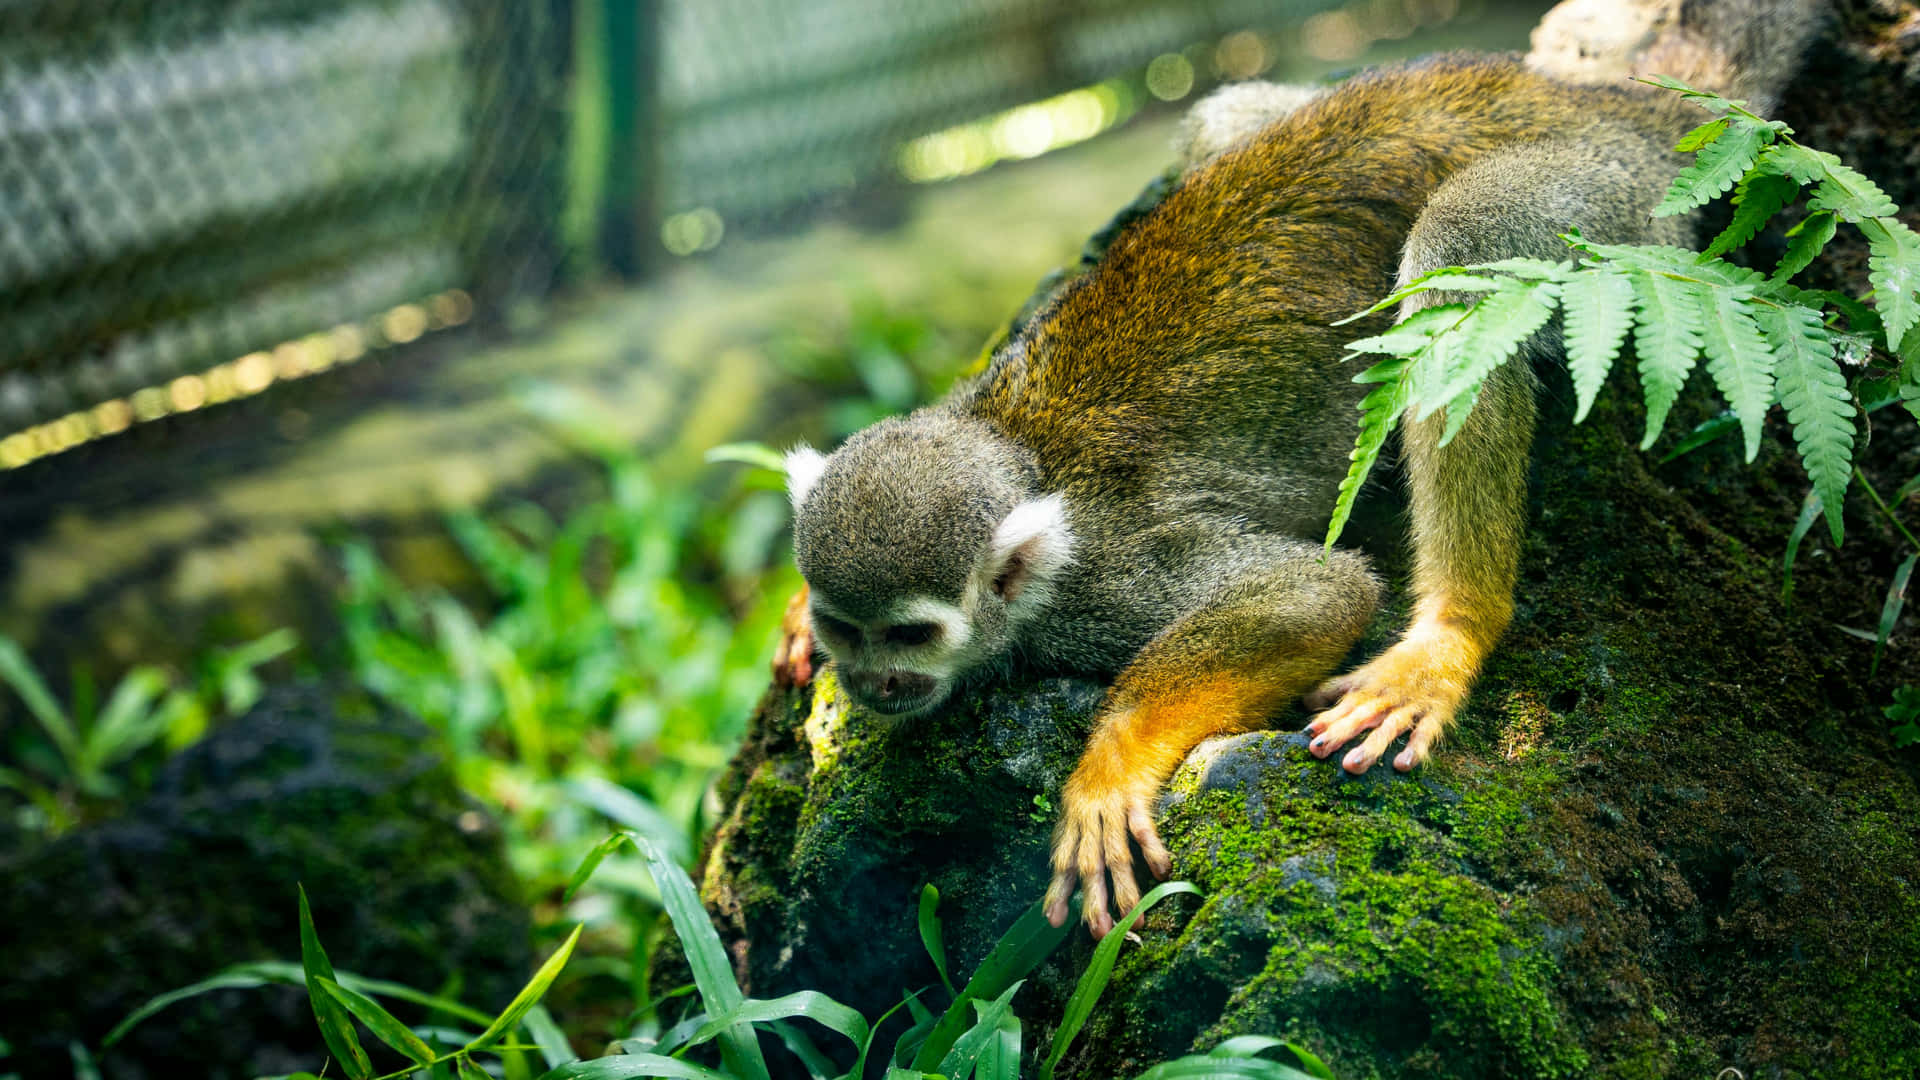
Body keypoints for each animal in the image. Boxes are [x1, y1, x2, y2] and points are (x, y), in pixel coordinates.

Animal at [775, 4, 1812, 933]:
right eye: (846, 627)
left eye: (910, 636)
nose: (870, 685)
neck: (1013, 449)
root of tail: (1601, 100)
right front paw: (793, 626)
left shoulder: (1101, 579)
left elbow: (1317, 592)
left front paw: (1107, 771)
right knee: (1224, 122)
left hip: (1616, 200)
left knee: (1458, 246)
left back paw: (1453, 631)